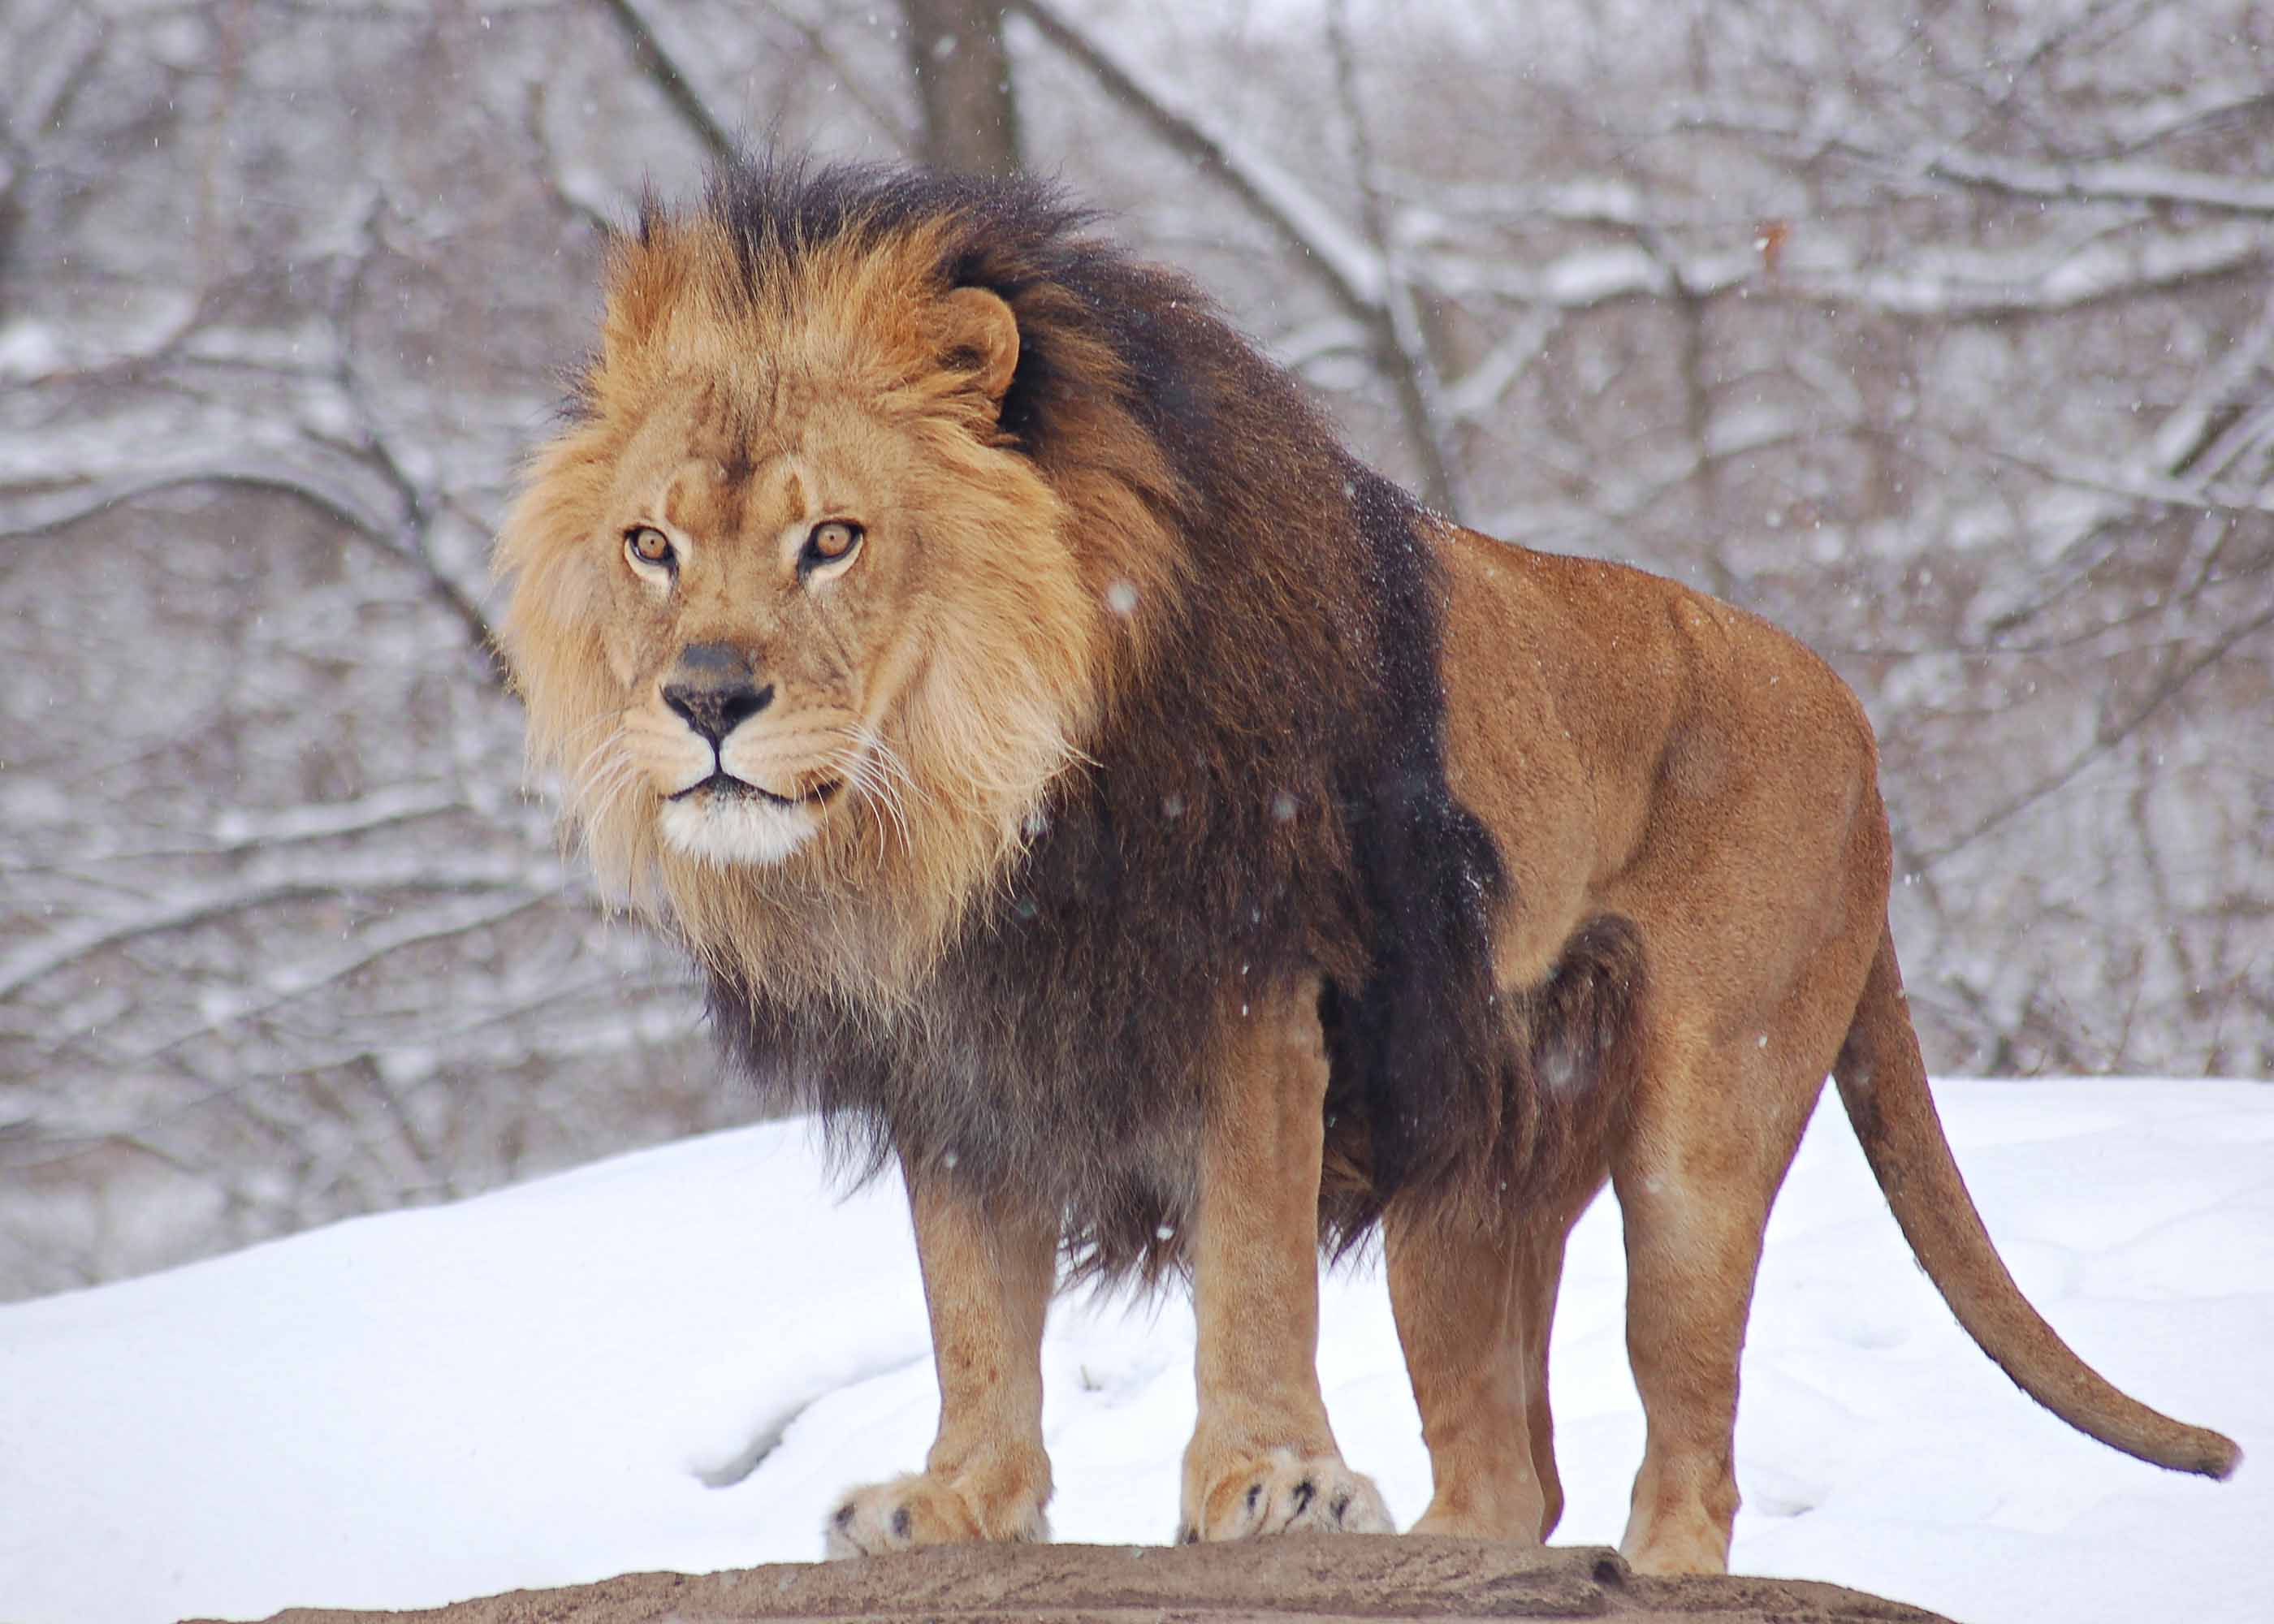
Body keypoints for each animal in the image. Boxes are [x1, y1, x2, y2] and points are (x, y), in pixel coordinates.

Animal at [493, 158, 2238, 1576]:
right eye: (652, 548)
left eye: (833, 540)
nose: (707, 702)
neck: (970, 817)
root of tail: (1857, 724)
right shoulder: (961, 1058)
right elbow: (972, 1308)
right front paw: (958, 1503)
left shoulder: (1253, 980)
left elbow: (1254, 1261)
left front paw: (1270, 1483)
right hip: (1464, 1193)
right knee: (1513, 1475)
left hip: (1703, 1132)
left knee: (1688, 1447)